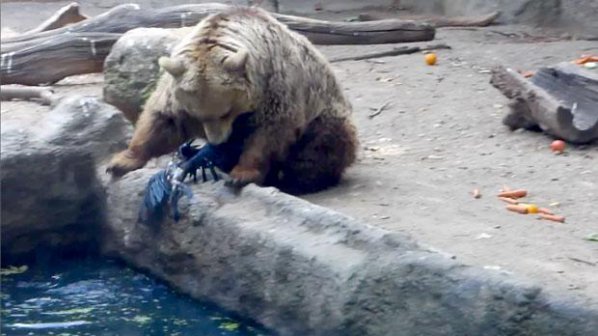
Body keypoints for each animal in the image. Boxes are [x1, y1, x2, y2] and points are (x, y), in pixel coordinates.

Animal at [106, 6, 360, 194]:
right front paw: (121, 161)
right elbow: (161, 121)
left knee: (322, 143)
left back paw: (299, 179)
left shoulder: (276, 85)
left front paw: (241, 174)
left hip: (324, 113)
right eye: (198, 115)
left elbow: (270, 132)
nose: (218, 141)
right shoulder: (176, 93)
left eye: (226, 112)